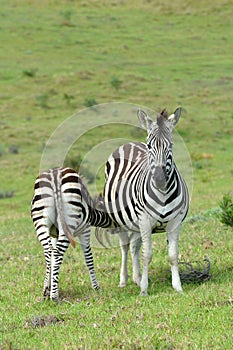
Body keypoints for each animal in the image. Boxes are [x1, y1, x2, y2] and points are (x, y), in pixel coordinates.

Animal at [31, 167, 114, 300]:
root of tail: (55, 177)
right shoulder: (85, 230)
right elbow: (88, 258)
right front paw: (96, 288)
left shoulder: (54, 234)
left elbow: (52, 257)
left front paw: (49, 287)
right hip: (69, 220)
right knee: (58, 252)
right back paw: (54, 296)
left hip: (41, 221)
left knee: (49, 252)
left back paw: (46, 292)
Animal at [98, 106, 189, 296]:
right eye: (149, 146)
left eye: (171, 145)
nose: (159, 180)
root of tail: (129, 143)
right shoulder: (146, 220)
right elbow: (147, 255)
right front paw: (144, 290)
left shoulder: (175, 221)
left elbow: (172, 255)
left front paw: (177, 287)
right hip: (121, 220)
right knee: (125, 247)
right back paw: (124, 280)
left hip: (136, 224)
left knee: (134, 247)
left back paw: (137, 278)